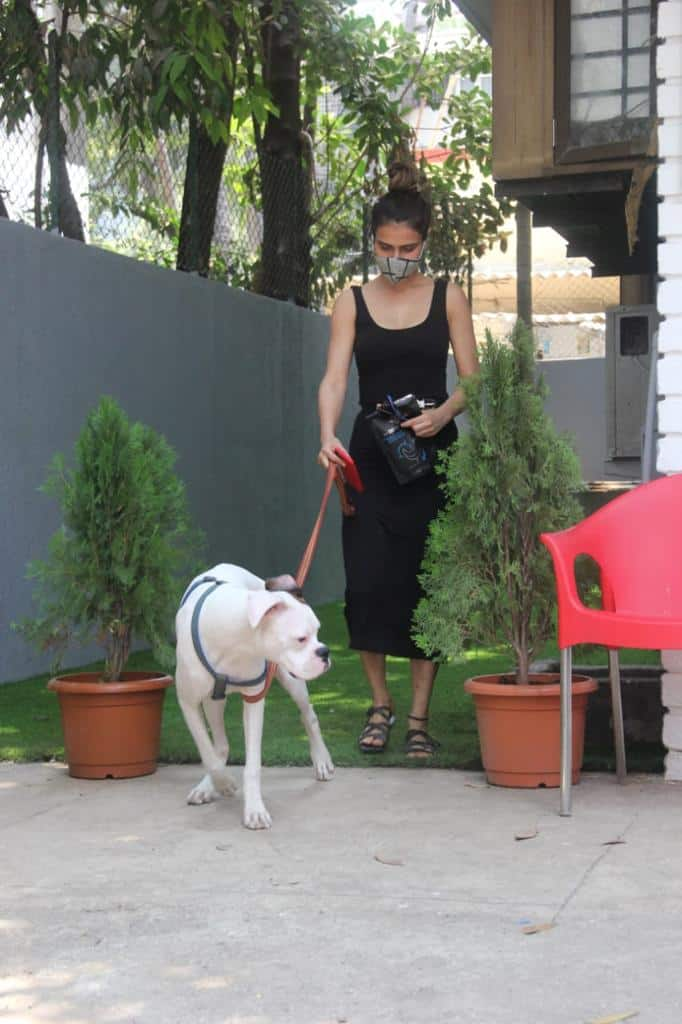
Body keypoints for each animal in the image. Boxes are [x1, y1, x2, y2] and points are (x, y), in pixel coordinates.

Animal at [173, 565, 331, 827]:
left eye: (318, 632)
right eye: (301, 639)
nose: (325, 652)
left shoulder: (254, 701)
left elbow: (253, 764)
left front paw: (254, 809)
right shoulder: (188, 703)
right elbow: (207, 752)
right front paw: (224, 783)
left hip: (291, 680)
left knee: (309, 716)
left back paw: (322, 760)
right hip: (213, 701)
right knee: (219, 746)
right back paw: (208, 786)